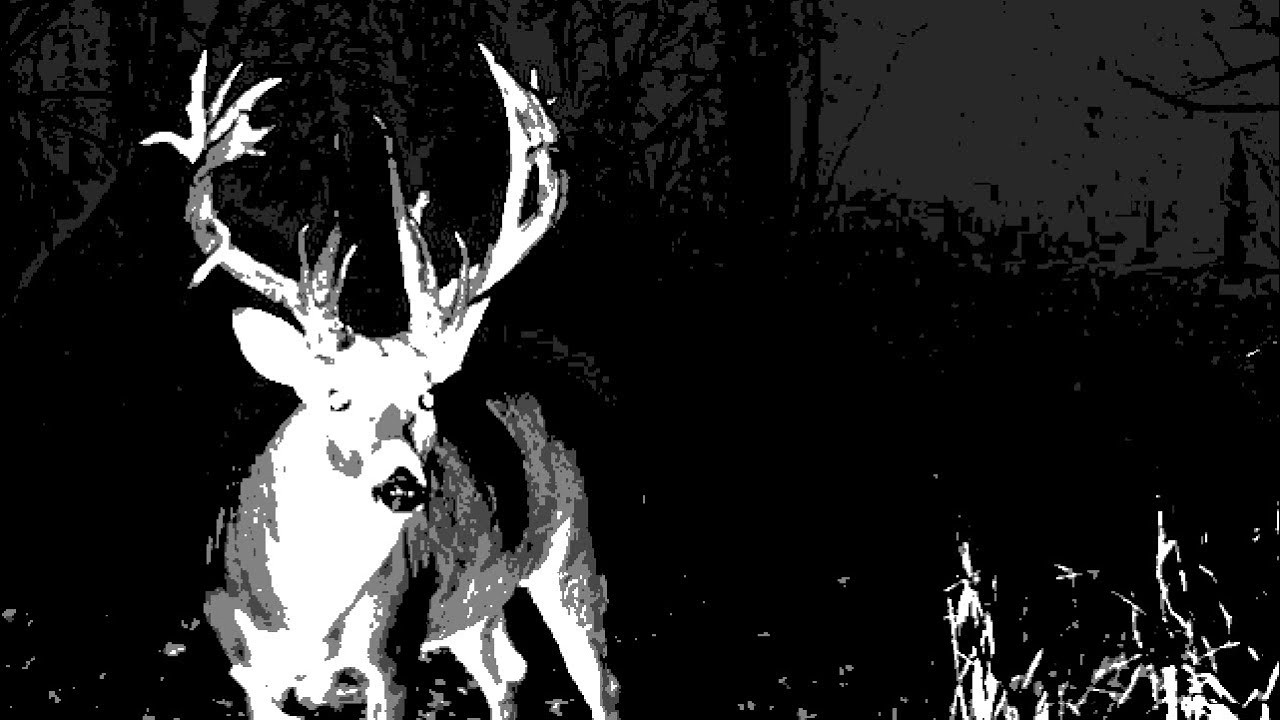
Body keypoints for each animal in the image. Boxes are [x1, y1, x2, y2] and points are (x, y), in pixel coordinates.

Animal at [140, 45, 620, 719]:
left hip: (570, 547)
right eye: (335, 397)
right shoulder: (248, 670)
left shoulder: (390, 659)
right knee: (508, 672)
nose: (402, 486)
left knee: (598, 681)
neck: (310, 614)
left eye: (425, 395)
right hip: (474, 609)